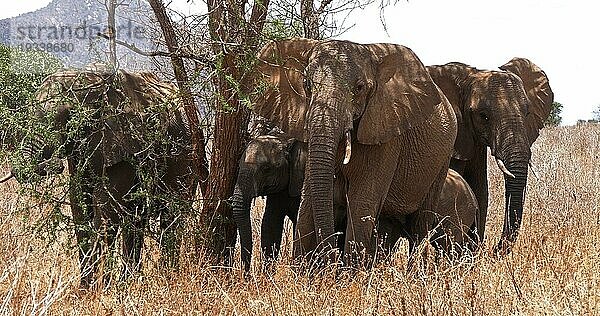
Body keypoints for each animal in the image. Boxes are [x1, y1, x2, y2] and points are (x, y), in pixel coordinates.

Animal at [0, 67, 197, 288]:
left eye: (66, 116)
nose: (56, 163)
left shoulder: (124, 140)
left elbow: (104, 208)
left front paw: (98, 289)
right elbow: (79, 202)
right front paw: (86, 289)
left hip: (187, 157)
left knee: (170, 214)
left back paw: (166, 277)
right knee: (137, 217)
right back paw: (128, 283)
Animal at [251, 38, 458, 268]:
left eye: (359, 88)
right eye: (307, 85)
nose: (332, 259)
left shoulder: (385, 133)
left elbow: (361, 202)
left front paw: (350, 274)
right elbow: (308, 200)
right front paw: (301, 272)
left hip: (442, 162)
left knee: (419, 225)